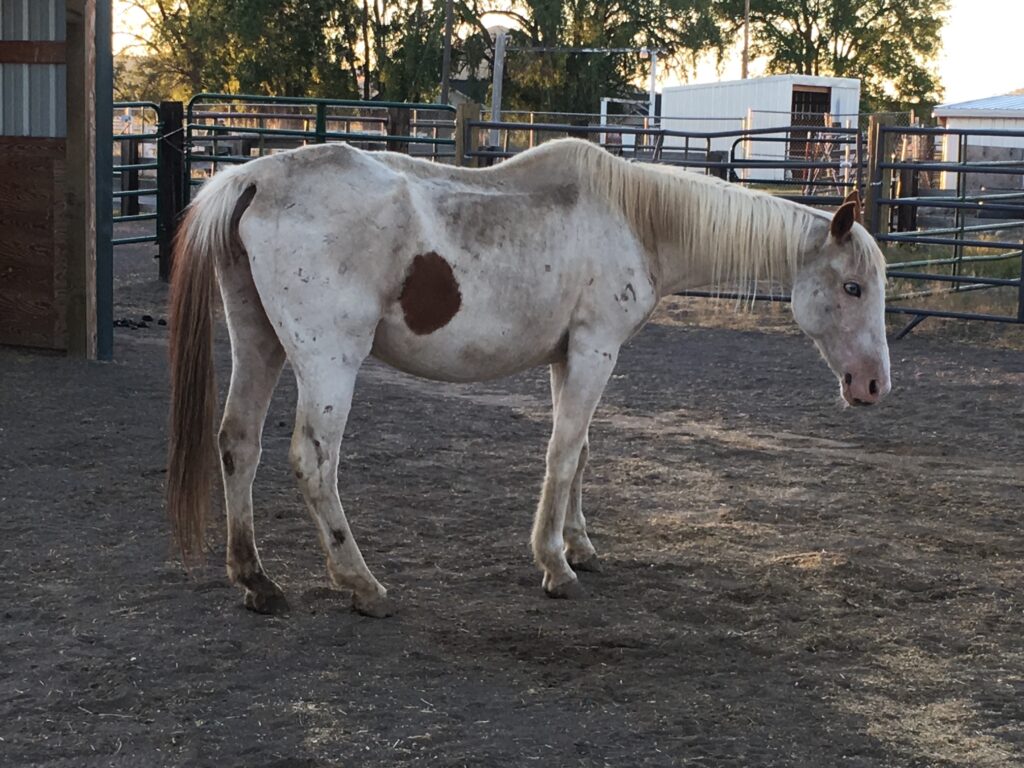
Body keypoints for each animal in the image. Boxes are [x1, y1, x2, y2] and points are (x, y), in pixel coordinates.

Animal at [167, 138, 891, 618]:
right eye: (852, 287)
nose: (873, 385)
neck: (634, 218)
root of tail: (257, 178)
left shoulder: (569, 356)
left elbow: (581, 453)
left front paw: (580, 545)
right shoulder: (596, 350)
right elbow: (563, 453)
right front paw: (555, 564)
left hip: (259, 342)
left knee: (238, 442)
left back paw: (255, 578)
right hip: (328, 361)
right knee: (313, 460)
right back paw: (361, 583)